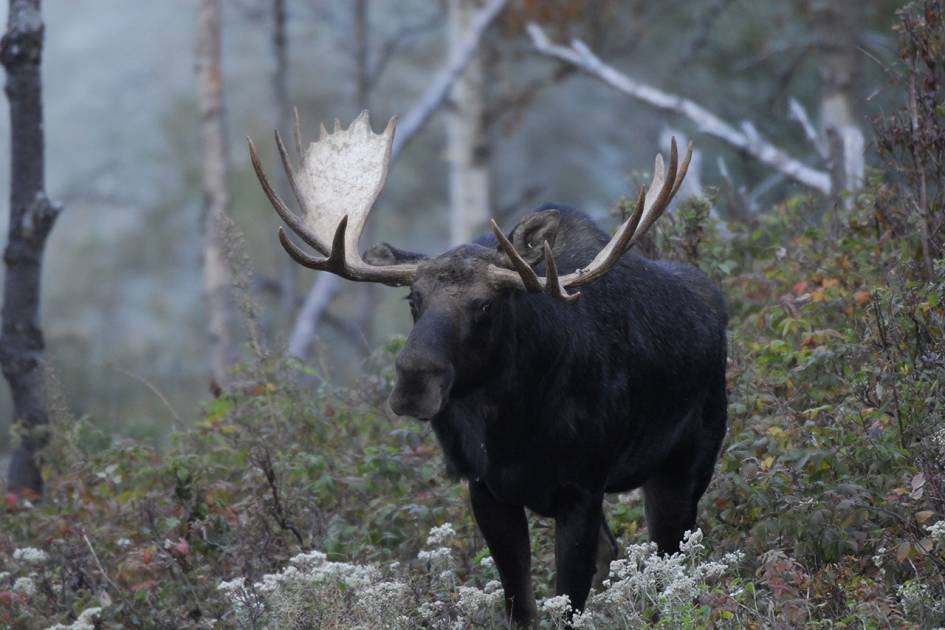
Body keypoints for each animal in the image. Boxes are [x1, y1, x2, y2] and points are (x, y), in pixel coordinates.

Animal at [247, 113, 728, 628]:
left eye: (484, 305)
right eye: (413, 299)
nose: (413, 382)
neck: (515, 426)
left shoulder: (582, 487)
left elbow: (568, 603)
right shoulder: (485, 488)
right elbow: (522, 605)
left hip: (686, 464)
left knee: (671, 561)